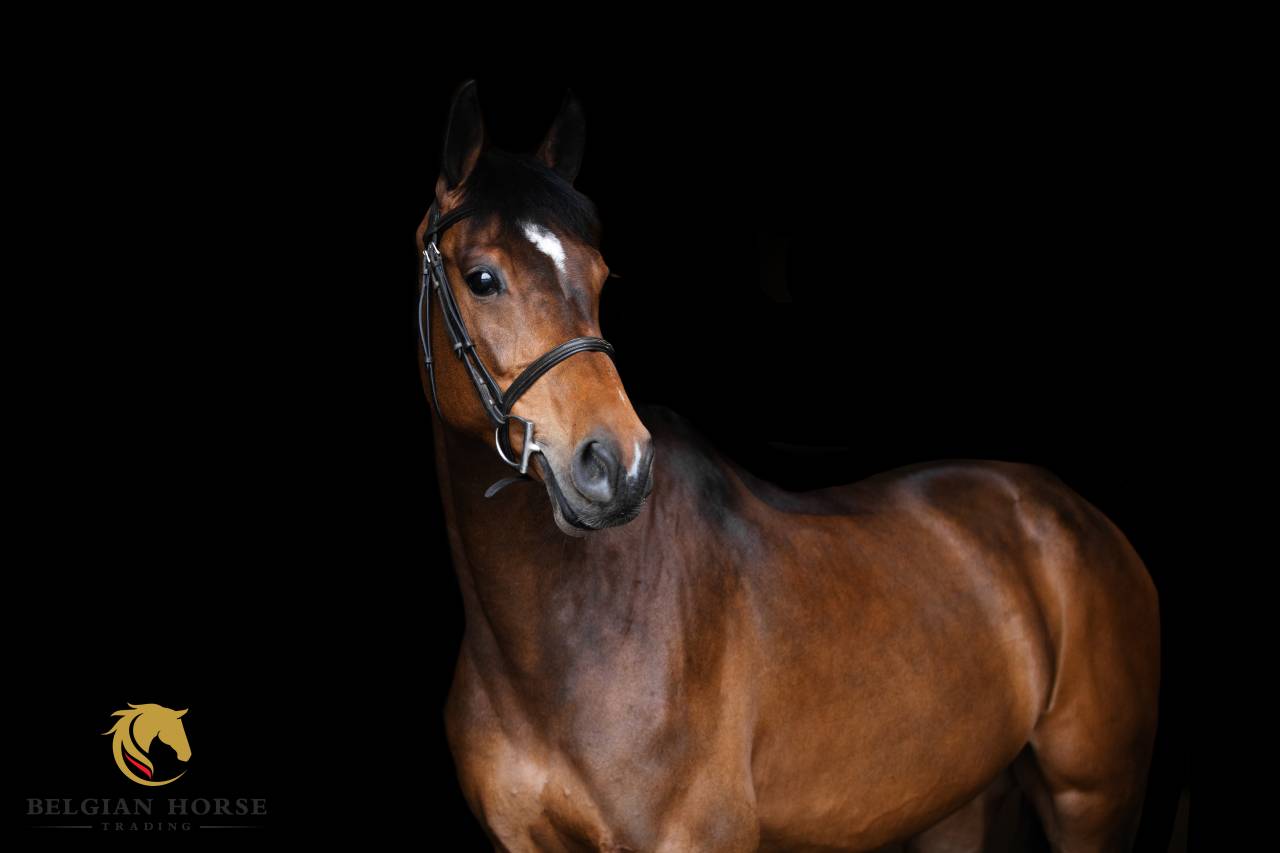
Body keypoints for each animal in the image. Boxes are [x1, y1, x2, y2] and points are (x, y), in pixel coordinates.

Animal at [416, 81, 1160, 853]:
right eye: (482, 278)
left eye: (599, 276)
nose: (618, 464)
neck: (554, 649)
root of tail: (1077, 515)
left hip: (1096, 799)